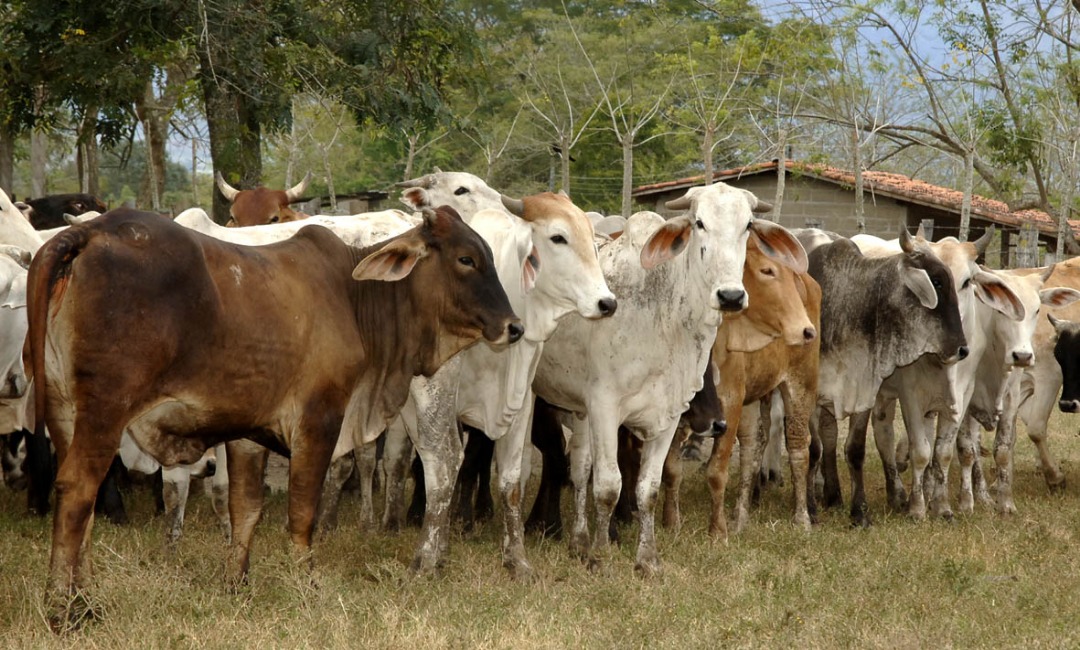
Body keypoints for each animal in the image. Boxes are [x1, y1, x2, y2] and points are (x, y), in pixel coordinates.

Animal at [656, 235, 816, 539]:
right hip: (753, 402)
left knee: (799, 447)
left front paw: (717, 532)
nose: (806, 330)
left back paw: (801, 517)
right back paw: (740, 516)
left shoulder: (729, 402)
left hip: (800, 385)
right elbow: (670, 468)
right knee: (751, 450)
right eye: (767, 270)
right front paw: (671, 523)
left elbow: (716, 471)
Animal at [803, 229, 972, 524]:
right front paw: (810, 511)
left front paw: (859, 512)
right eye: (937, 282)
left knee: (830, 434)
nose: (962, 350)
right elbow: (813, 450)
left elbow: (854, 450)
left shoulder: (863, 391)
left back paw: (833, 495)